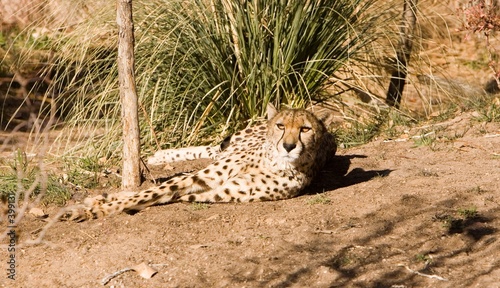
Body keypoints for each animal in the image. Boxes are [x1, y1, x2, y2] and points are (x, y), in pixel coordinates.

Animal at [67, 104, 336, 220]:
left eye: (305, 129)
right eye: (281, 126)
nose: (288, 146)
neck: (274, 162)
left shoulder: (219, 192)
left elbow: (163, 195)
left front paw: (101, 205)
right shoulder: (205, 176)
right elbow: (152, 191)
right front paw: (94, 208)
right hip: (231, 145)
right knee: (211, 150)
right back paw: (160, 156)